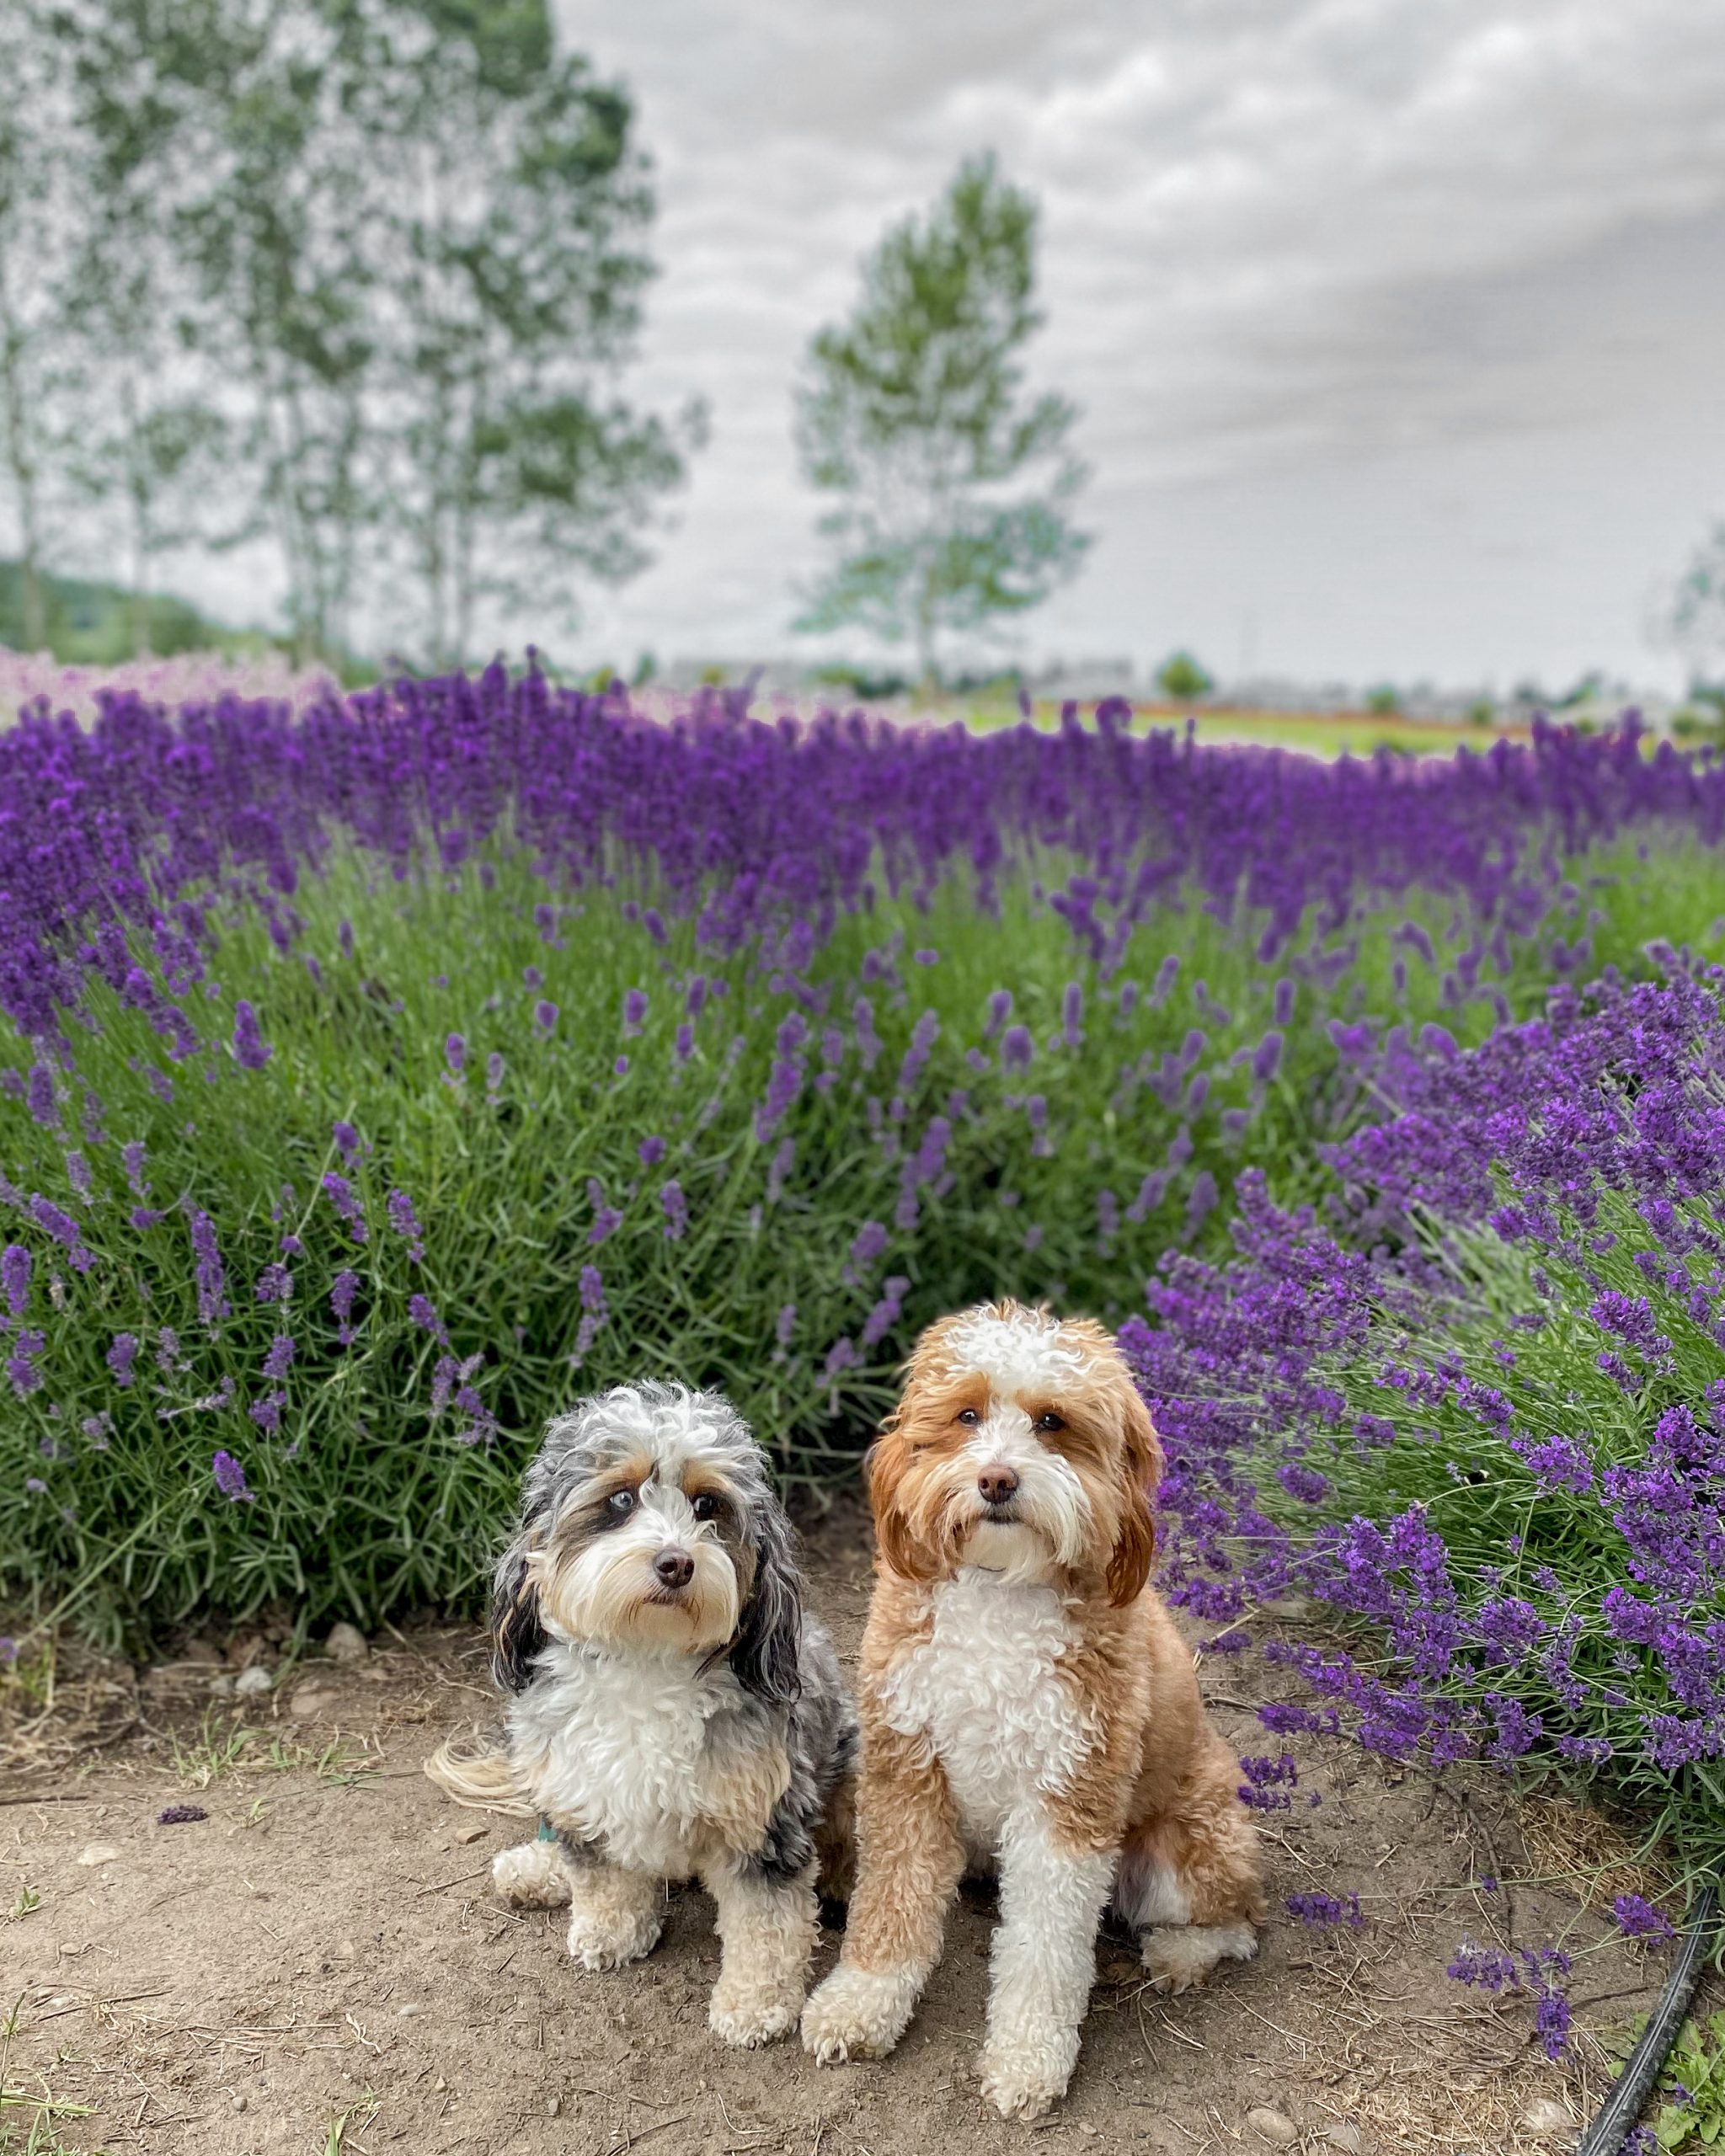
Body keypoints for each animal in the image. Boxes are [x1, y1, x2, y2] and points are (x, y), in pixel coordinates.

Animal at [802, 1302, 1259, 2112]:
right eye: (967, 1414)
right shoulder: (906, 1771)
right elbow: (890, 1905)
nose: (997, 1479)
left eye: (1052, 1421)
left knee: (1238, 1921)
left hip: (1185, 1849)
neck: (999, 1589)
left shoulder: (1069, 1797)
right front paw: (860, 2005)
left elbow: (1045, 1949)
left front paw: (1027, 2058)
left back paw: (1179, 1952)